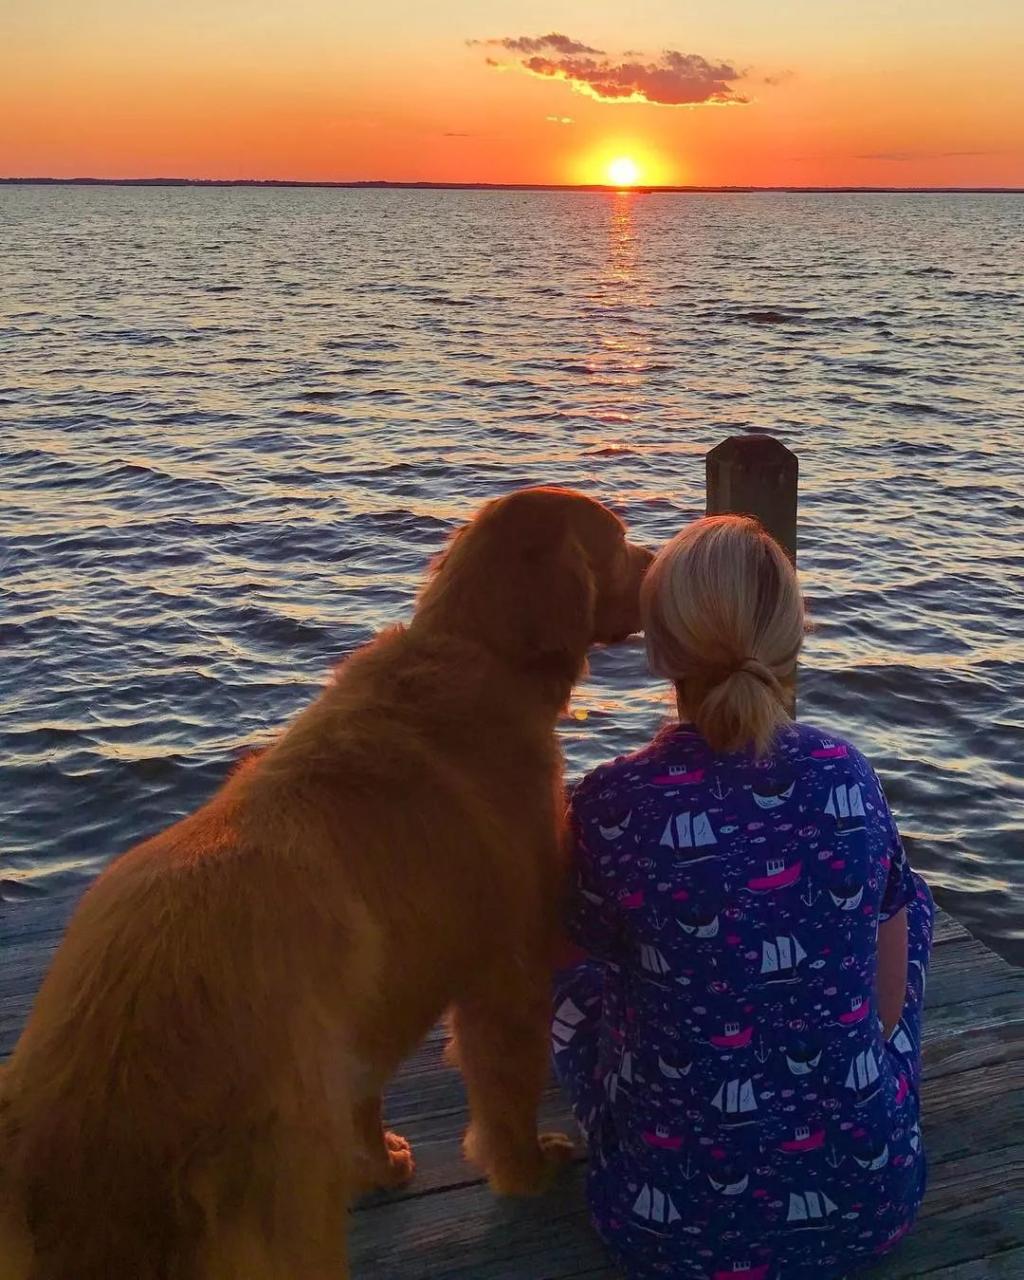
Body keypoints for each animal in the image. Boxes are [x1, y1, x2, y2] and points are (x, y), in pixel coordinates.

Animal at [0, 486, 652, 1280]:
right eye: (617, 539)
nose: (657, 558)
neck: (477, 652)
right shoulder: (508, 970)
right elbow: (507, 1097)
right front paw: (526, 1170)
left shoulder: (368, 1015)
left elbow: (366, 1099)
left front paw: (378, 1164)